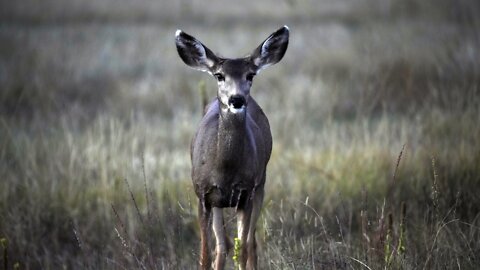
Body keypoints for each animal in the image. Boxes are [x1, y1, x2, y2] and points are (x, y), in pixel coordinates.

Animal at [175, 25, 288, 270]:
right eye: (219, 75)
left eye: (250, 75)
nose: (237, 99)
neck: (225, 169)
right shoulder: (203, 194)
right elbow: (205, 255)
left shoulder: (246, 193)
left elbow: (243, 250)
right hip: (219, 203)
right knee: (222, 247)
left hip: (260, 184)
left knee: (250, 244)